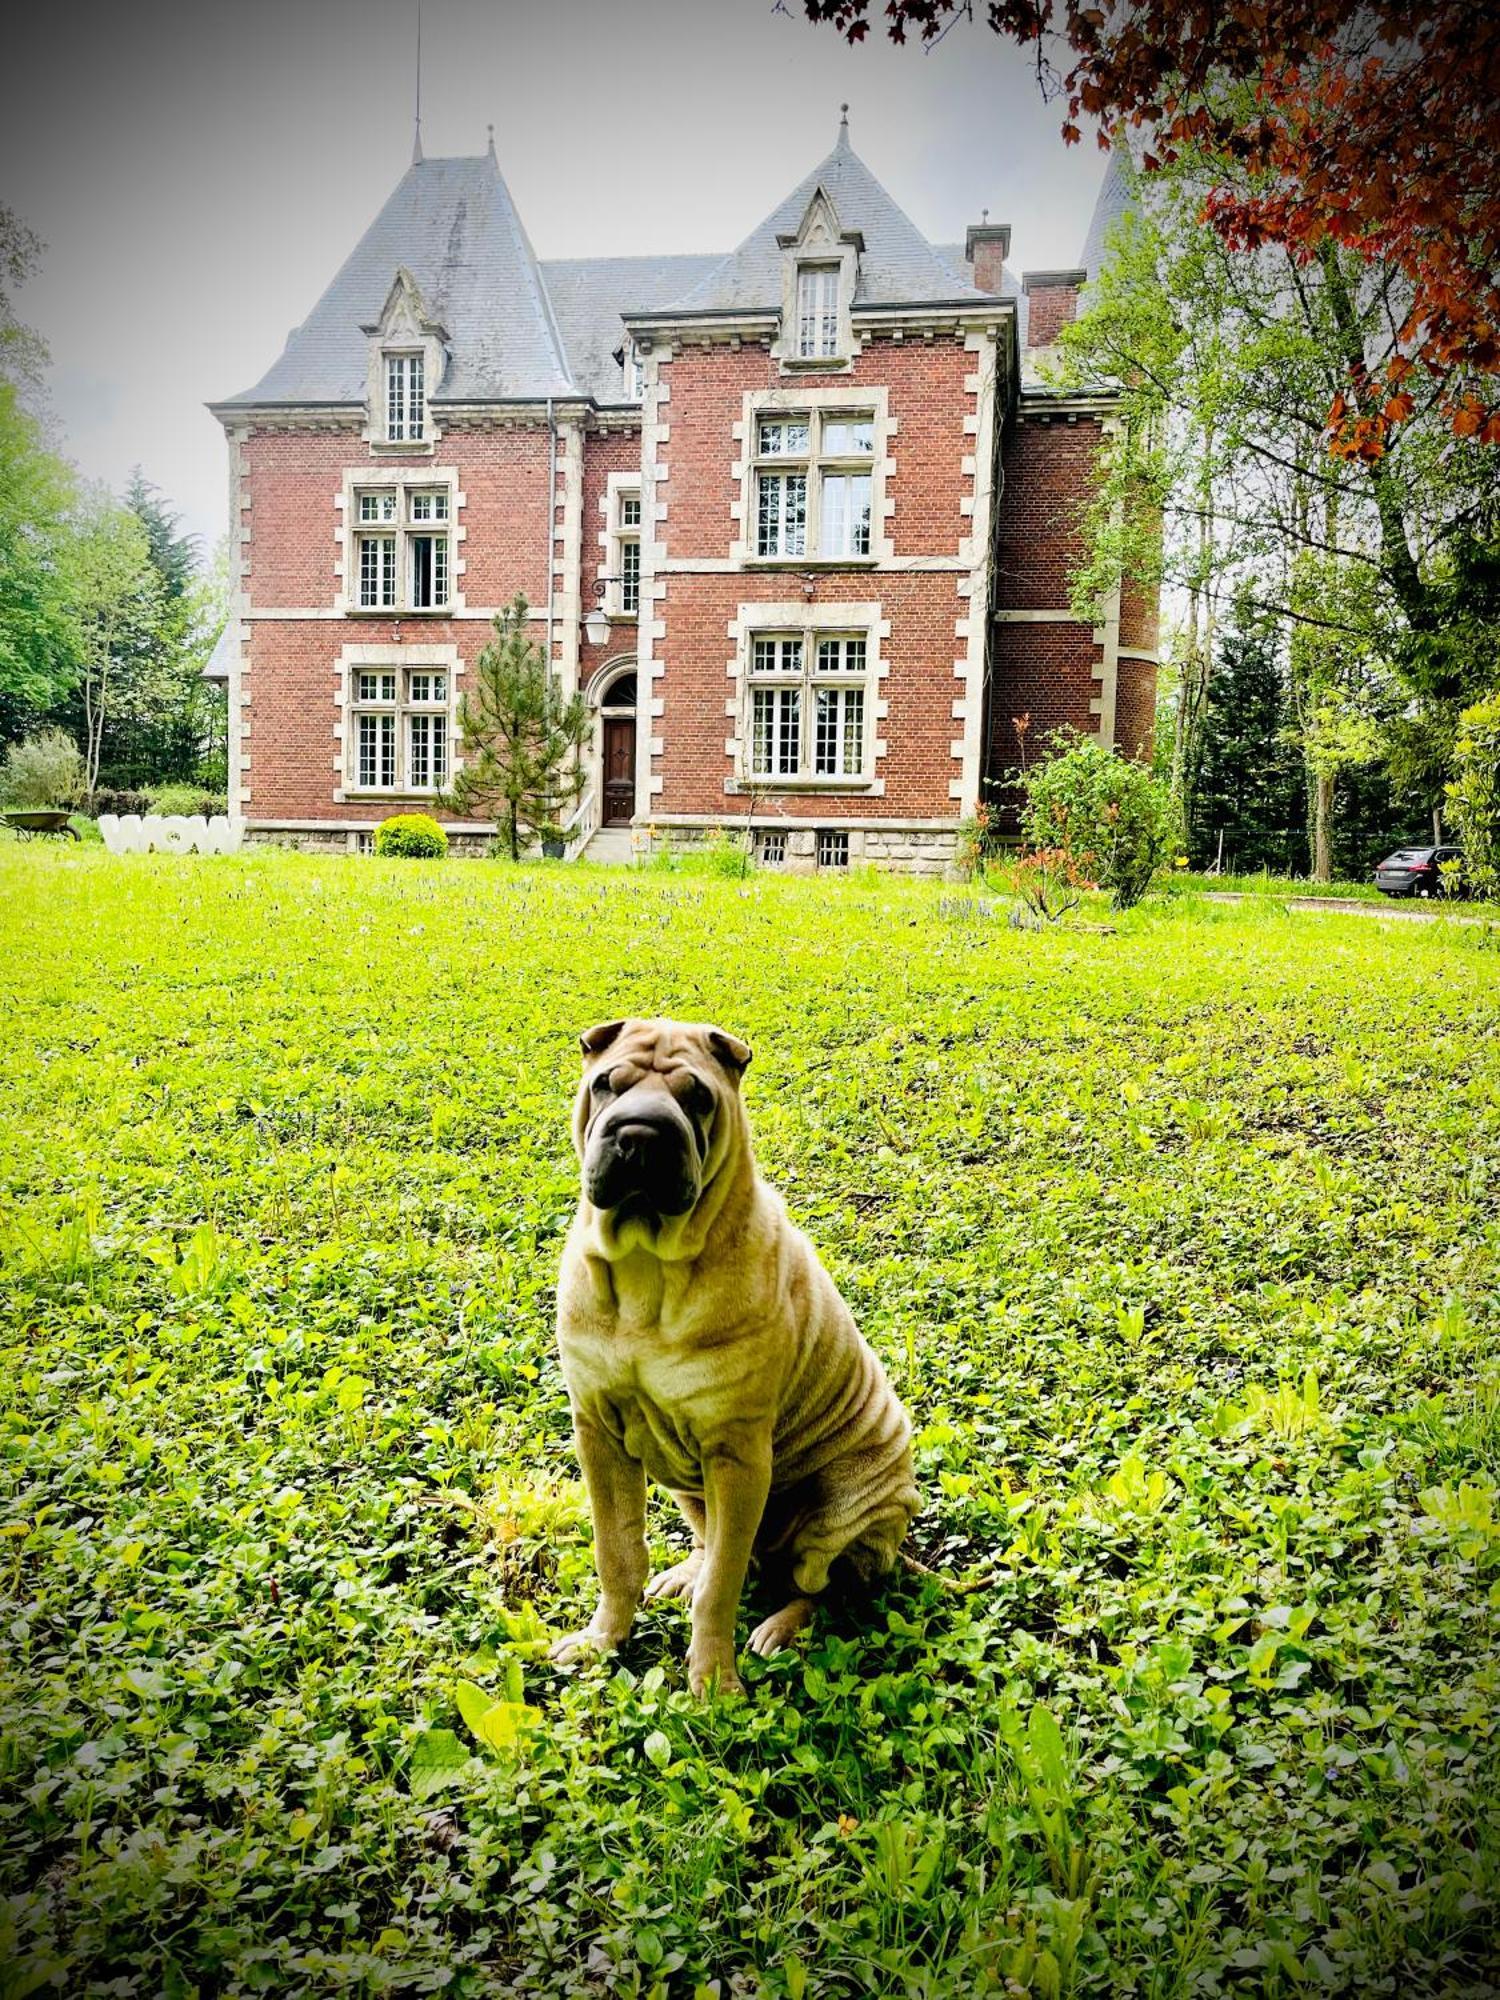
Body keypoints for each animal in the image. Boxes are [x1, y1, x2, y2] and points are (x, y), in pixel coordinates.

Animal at [560, 1016, 924, 1688]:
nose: (639, 1132)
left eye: (697, 1096)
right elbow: (617, 1552)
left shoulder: (737, 1455)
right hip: (687, 1487)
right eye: (605, 1084)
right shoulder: (598, 1431)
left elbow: (723, 1586)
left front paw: (712, 1680)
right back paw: (685, 1574)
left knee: (821, 1585)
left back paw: (779, 1627)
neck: (648, 1264)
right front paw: (603, 1640)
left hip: (843, 1508)